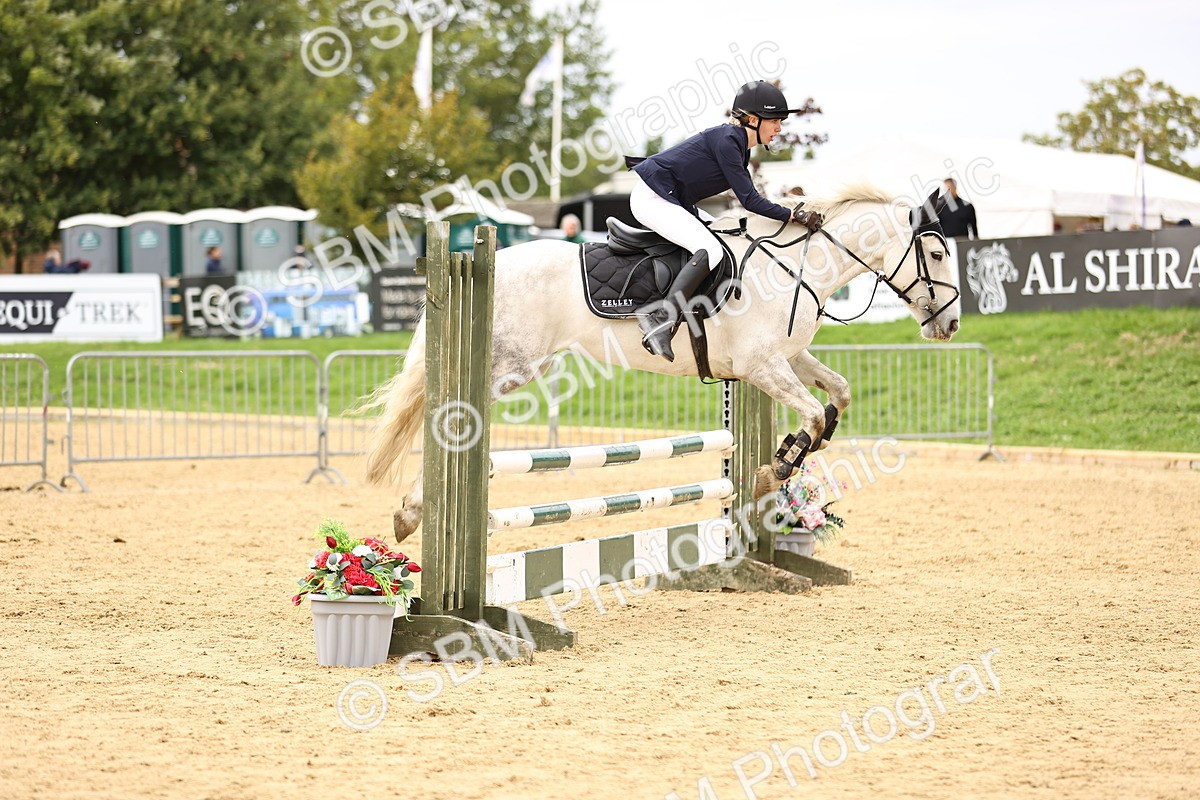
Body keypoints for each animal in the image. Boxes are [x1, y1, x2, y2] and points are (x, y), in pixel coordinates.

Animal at [363, 184, 962, 541]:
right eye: (936, 253)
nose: (951, 325)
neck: (796, 266)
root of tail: (471, 262)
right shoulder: (761, 366)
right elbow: (812, 414)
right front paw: (769, 474)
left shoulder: (787, 358)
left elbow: (837, 395)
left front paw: (797, 454)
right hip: (506, 369)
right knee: (448, 423)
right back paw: (418, 513)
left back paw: (412, 514)